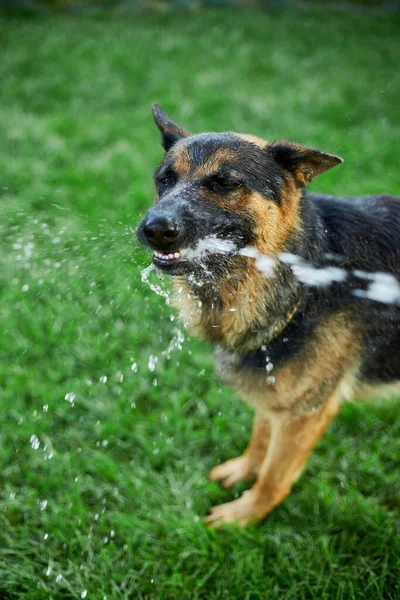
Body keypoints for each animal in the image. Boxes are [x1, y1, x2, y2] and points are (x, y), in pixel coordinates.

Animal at [138, 105, 400, 528]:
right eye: (165, 179)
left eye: (226, 183)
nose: (154, 229)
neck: (303, 277)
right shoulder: (272, 382)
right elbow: (261, 437)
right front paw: (245, 470)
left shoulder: (306, 413)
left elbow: (275, 478)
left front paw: (243, 516)